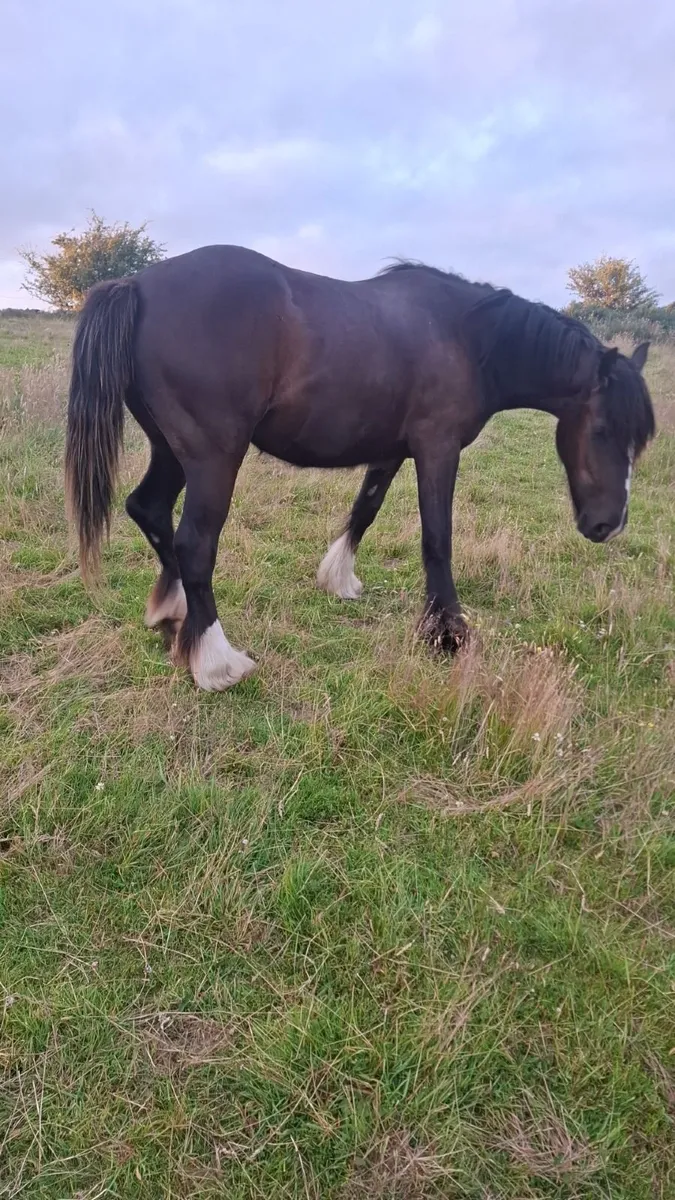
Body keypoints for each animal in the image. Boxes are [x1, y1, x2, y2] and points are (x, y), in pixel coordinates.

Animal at [65, 246, 655, 691]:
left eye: (640, 439)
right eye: (603, 429)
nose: (609, 525)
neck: (466, 336)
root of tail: (136, 285)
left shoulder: (391, 451)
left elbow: (365, 510)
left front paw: (339, 578)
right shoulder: (438, 448)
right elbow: (437, 537)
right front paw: (448, 633)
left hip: (171, 450)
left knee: (149, 510)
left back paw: (174, 618)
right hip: (213, 455)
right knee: (193, 543)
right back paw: (215, 660)